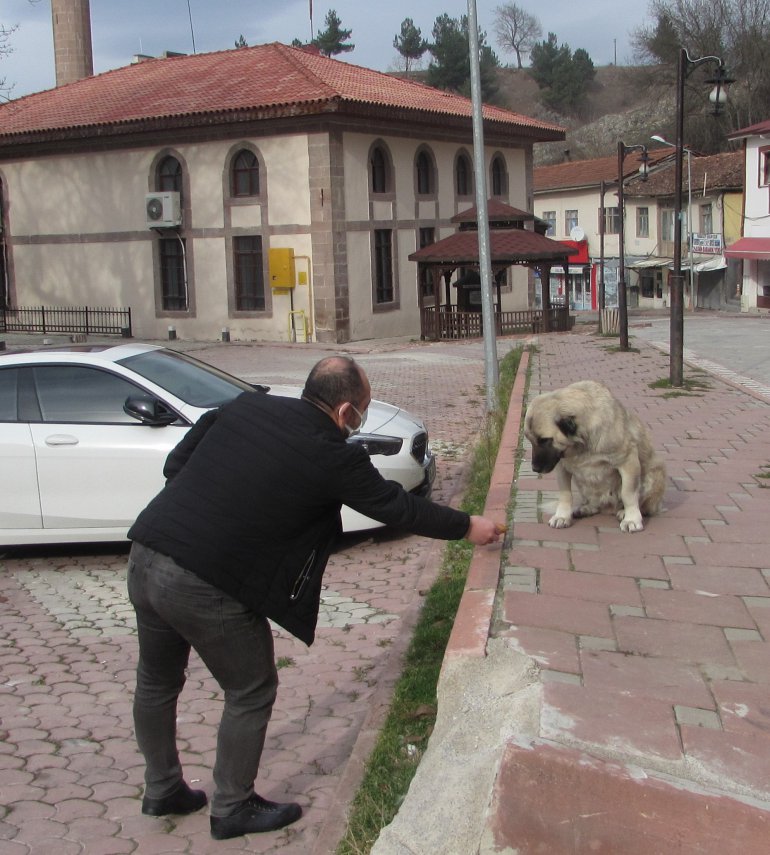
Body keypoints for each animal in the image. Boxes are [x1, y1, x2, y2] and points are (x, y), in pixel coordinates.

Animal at [524, 380, 664, 532]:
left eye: (544, 440)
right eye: (530, 440)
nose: (535, 468)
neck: (582, 444)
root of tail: (609, 508)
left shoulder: (628, 462)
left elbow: (628, 494)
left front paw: (631, 518)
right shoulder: (562, 467)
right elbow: (565, 494)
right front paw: (562, 516)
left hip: (654, 474)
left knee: (643, 505)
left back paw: (623, 512)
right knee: (594, 503)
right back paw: (585, 508)